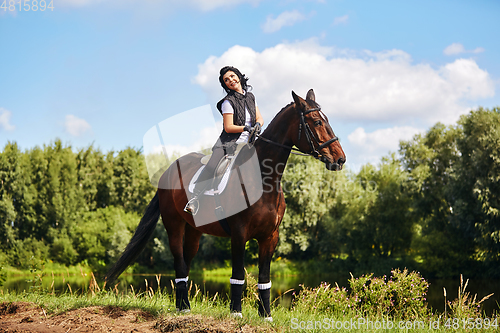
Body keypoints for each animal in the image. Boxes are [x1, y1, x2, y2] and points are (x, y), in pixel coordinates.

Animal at [106, 88, 346, 320]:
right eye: (317, 122)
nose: (340, 159)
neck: (264, 179)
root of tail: (168, 171)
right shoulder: (239, 233)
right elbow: (238, 274)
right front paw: (236, 312)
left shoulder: (270, 237)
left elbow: (265, 277)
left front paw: (265, 315)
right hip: (174, 226)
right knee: (178, 262)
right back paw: (183, 308)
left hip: (194, 231)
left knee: (186, 262)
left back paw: (183, 305)